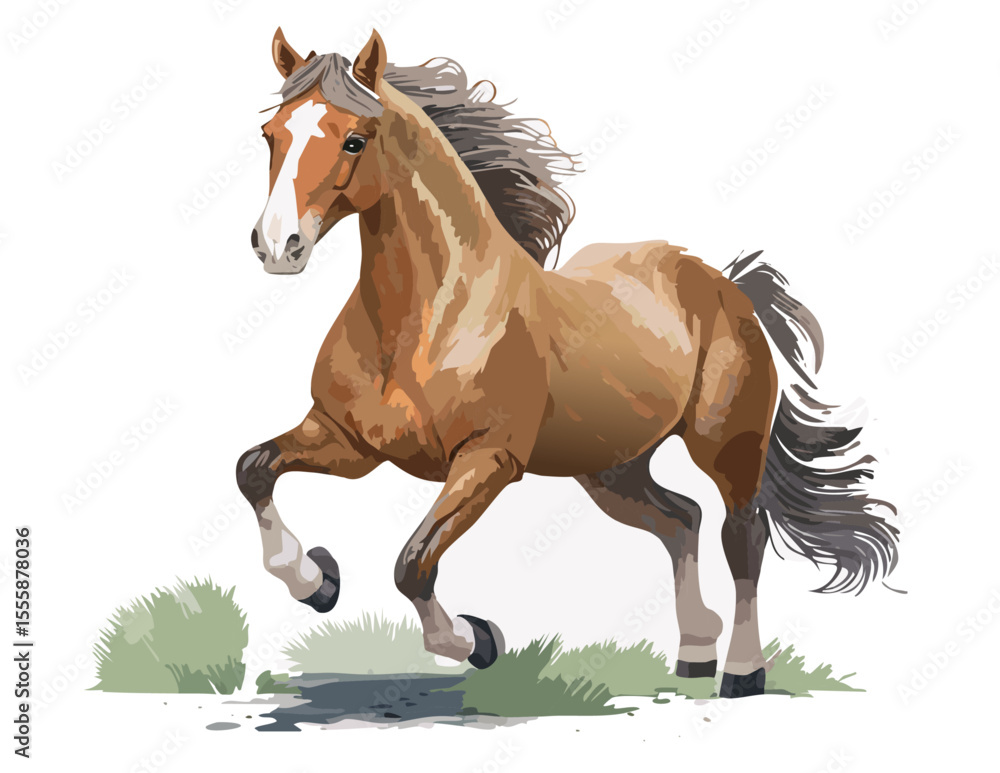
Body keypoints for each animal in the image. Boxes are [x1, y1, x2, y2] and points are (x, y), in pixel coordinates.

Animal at [237, 28, 899, 698]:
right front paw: (316, 581)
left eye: (355, 138)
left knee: (742, 536)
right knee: (680, 520)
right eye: (270, 134)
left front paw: (479, 639)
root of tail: (723, 282)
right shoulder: (349, 442)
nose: (278, 246)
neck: (423, 320)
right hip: (610, 468)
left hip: (726, 445)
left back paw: (741, 672)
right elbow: (254, 470)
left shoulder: (488, 460)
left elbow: (413, 564)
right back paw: (694, 652)